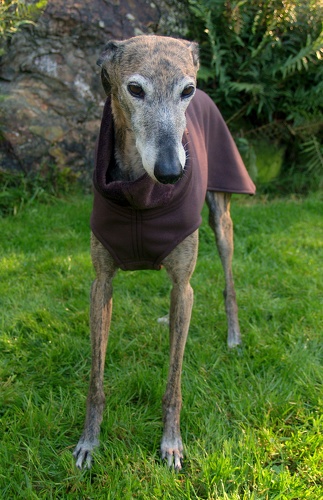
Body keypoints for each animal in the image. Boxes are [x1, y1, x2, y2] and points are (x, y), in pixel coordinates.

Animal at [73, 34, 256, 468]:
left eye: (186, 90)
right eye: (134, 89)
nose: (172, 172)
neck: (141, 195)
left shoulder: (183, 282)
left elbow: (174, 381)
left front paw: (171, 443)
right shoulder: (100, 284)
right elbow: (95, 378)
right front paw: (89, 441)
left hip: (220, 220)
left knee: (227, 282)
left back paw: (234, 336)